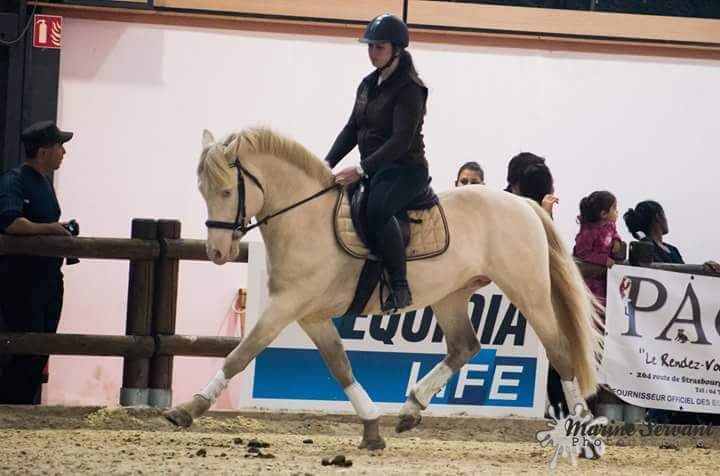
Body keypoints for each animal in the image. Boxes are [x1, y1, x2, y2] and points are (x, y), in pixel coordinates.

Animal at [165, 127, 604, 452]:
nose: (218, 252)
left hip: (529, 292)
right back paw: (410, 408)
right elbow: (340, 365)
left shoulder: (285, 305)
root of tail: (524, 204)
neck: (306, 218)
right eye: (204, 190)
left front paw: (188, 408)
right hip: (450, 296)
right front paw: (372, 428)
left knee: (559, 350)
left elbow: (240, 355)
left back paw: (582, 428)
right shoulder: (311, 315)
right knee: (464, 346)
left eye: (226, 191)